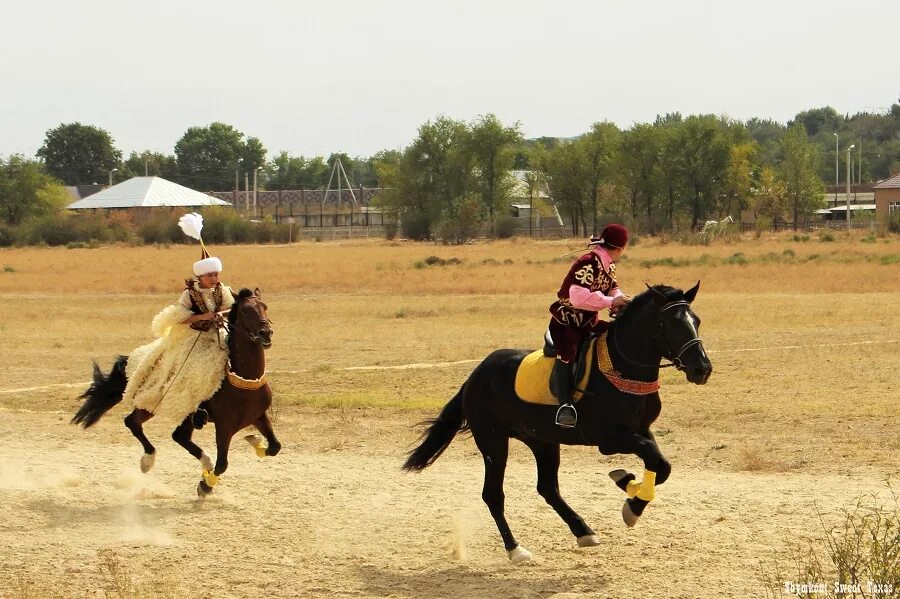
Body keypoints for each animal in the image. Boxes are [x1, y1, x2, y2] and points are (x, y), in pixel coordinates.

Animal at [72, 288, 280, 496]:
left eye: (265, 306)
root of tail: (133, 361)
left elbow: (275, 447)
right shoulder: (224, 427)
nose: (266, 333)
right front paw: (205, 486)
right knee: (133, 423)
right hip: (152, 404)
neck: (244, 380)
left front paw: (255, 441)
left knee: (174, 435)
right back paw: (150, 461)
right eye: (245, 310)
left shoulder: (259, 416)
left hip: (182, 414)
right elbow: (222, 464)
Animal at [404, 284, 712, 564]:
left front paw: (629, 489)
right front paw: (630, 496)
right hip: (493, 441)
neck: (623, 369)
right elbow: (655, 461)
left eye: (696, 321)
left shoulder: (641, 430)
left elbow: (662, 466)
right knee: (493, 494)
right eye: (670, 324)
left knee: (547, 488)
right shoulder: (611, 439)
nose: (702, 369)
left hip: (542, 441)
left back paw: (583, 531)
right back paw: (516, 550)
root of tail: (476, 374)